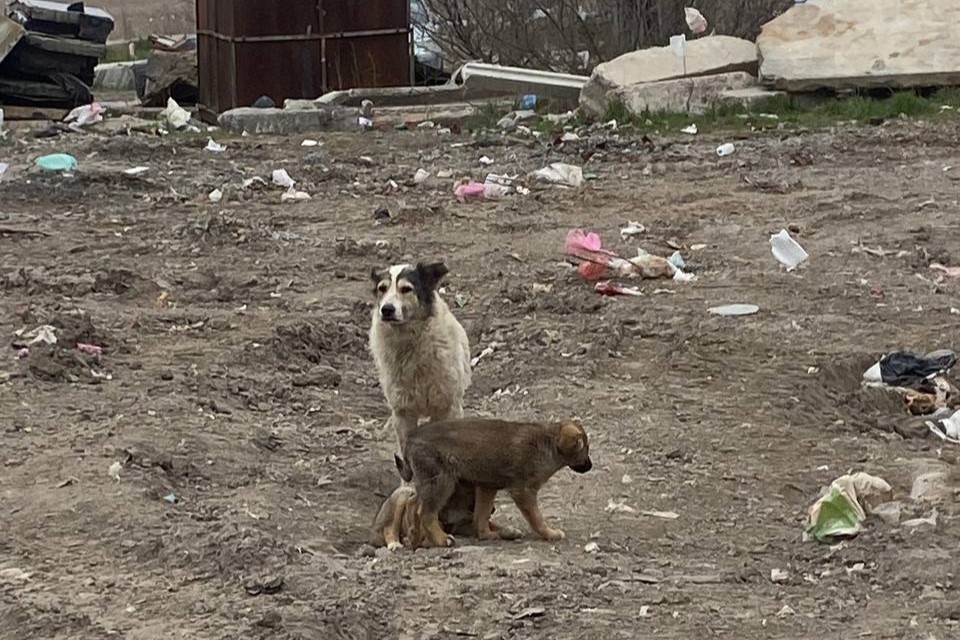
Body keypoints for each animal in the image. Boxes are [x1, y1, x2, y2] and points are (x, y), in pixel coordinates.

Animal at [400, 418, 592, 548]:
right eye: (585, 448)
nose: (590, 466)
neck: (548, 444)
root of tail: (410, 438)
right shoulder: (523, 490)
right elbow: (536, 517)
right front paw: (549, 533)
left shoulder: (487, 485)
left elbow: (482, 515)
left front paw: (486, 535)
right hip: (442, 482)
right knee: (426, 512)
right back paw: (441, 539)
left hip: (429, 482)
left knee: (413, 503)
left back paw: (416, 538)